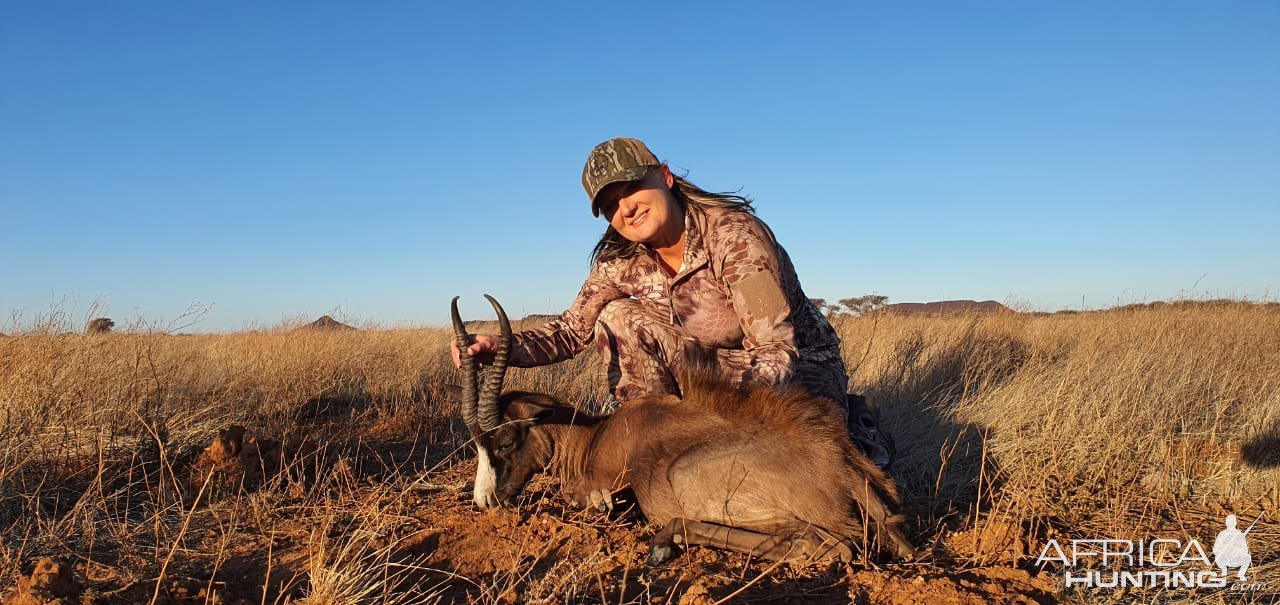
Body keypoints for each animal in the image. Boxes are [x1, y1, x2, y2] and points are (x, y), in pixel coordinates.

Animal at [450, 294, 921, 562]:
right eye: (476, 446)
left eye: (505, 441)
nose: (485, 501)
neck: (595, 434)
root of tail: (841, 467)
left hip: (684, 476)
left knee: (823, 546)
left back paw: (663, 543)